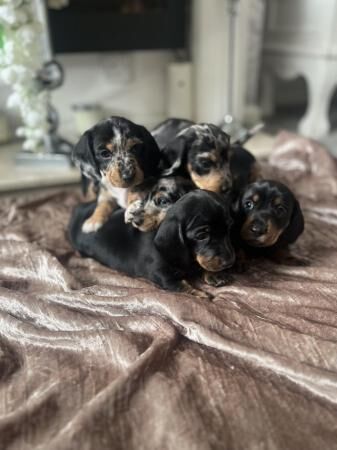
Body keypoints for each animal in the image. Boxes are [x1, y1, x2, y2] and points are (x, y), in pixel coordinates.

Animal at [69, 189, 235, 296]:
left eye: (228, 228)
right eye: (202, 235)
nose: (229, 262)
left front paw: (215, 275)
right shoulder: (159, 273)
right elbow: (179, 284)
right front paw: (198, 293)